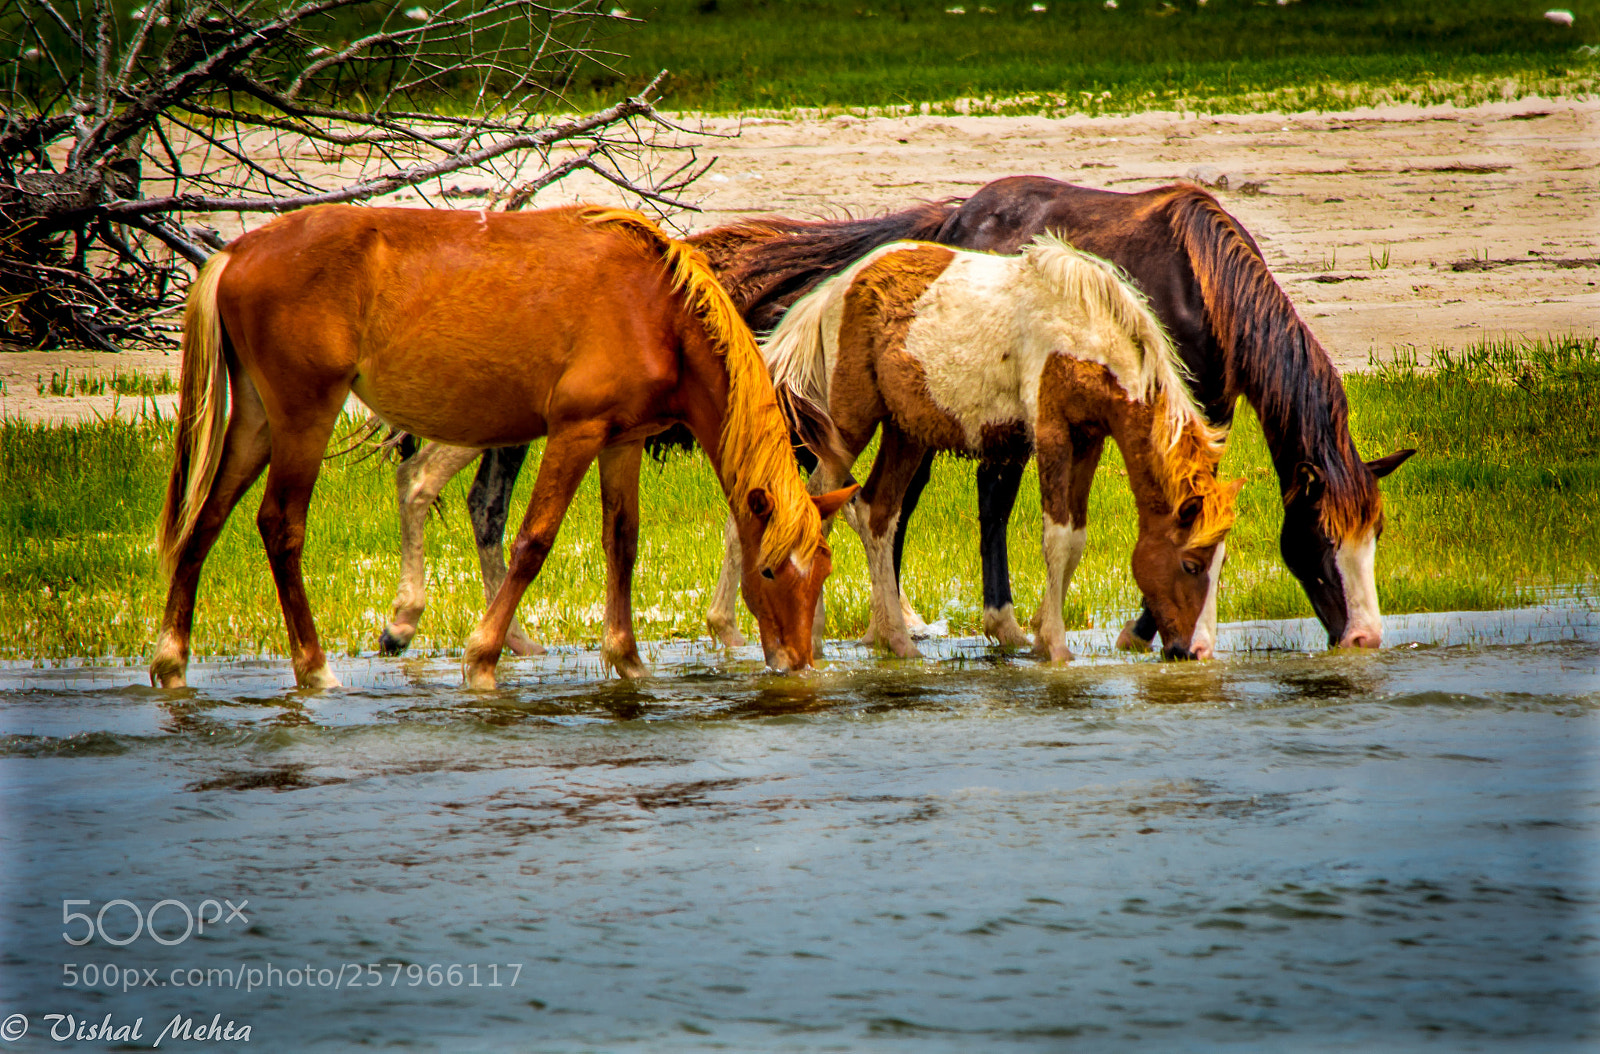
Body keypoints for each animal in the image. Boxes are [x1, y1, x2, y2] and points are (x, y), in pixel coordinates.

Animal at [150, 204, 856, 691]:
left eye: (823, 570)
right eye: (770, 572)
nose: (798, 661)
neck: (654, 307)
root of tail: (234, 254)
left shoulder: (622, 441)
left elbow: (622, 544)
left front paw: (628, 660)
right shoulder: (576, 431)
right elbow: (533, 540)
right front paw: (483, 657)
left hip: (257, 422)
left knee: (205, 521)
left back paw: (171, 660)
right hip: (303, 416)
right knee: (281, 526)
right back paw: (315, 667)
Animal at [762, 235, 1243, 662]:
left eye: (1220, 567)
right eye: (1191, 565)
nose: (1197, 651)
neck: (1084, 333)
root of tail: (838, 287)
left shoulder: (1088, 438)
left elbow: (1076, 539)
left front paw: (1040, 632)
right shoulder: (1052, 432)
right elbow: (1058, 538)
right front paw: (1054, 647)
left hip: (906, 431)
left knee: (876, 513)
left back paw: (895, 640)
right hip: (848, 427)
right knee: (821, 501)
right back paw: (818, 637)